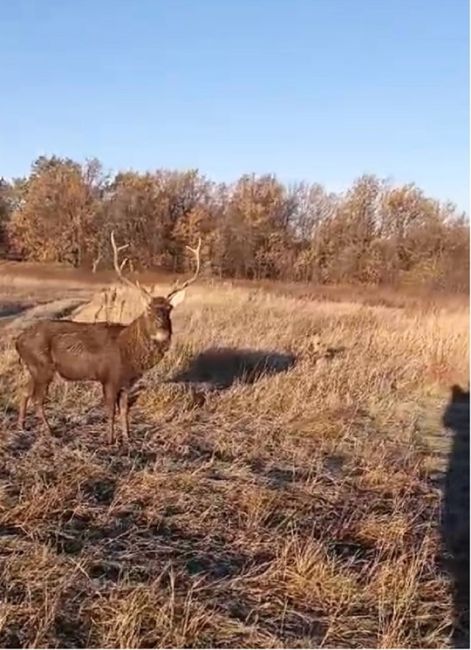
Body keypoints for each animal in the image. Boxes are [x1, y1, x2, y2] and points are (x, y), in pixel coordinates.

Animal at [14, 233, 203, 446]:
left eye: (169, 309)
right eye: (148, 309)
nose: (162, 329)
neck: (128, 353)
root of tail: (18, 341)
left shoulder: (128, 382)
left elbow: (125, 411)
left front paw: (127, 437)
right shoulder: (109, 377)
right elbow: (111, 411)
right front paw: (110, 440)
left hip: (33, 368)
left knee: (24, 392)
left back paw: (21, 426)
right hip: (42, 366)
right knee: (37, 399)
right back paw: (50, 431)